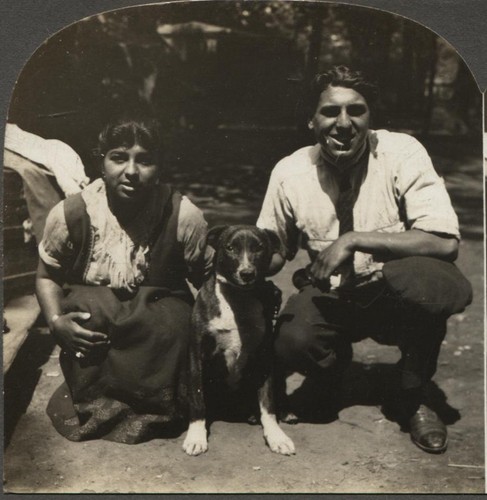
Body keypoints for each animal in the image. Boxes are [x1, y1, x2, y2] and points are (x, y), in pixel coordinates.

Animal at [182, 225, 295, 456]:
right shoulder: (196, 355)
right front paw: (196, 436)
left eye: (259, 248)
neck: (238, 299)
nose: (247, 273)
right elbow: (197, 398)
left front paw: (277, 436)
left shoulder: (264, 359)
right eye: (230, 247)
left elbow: (268, 402)